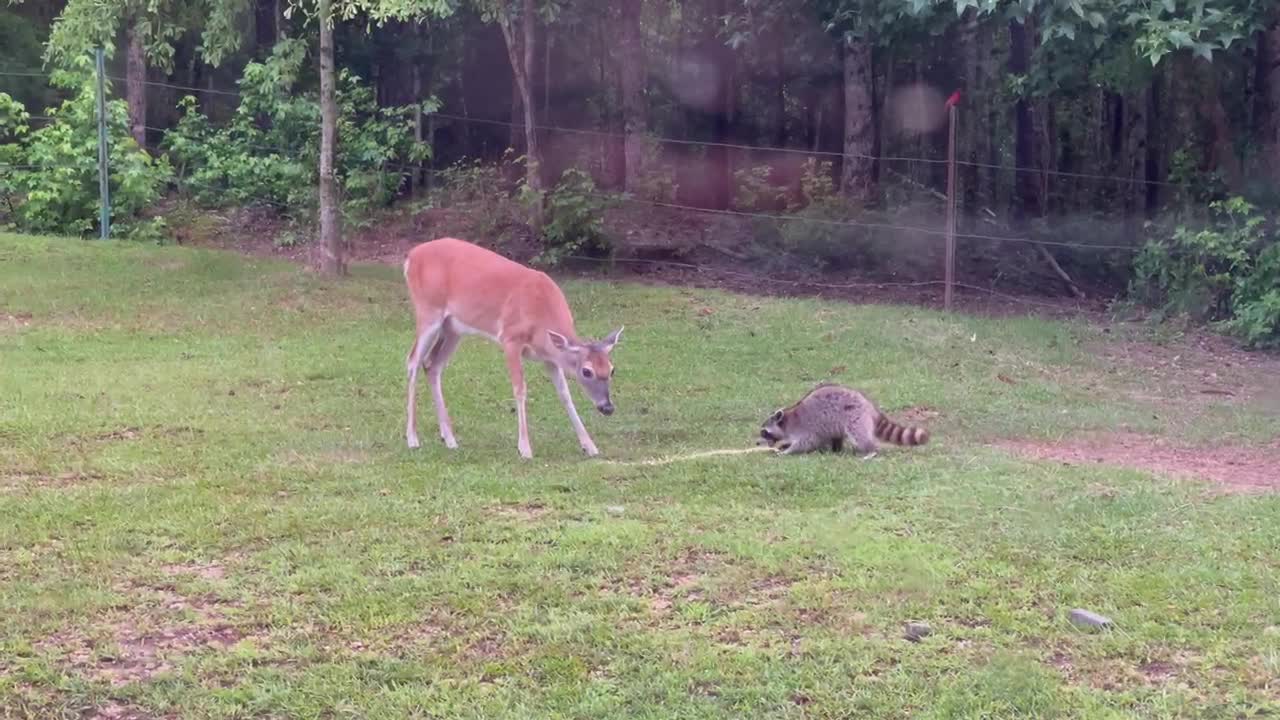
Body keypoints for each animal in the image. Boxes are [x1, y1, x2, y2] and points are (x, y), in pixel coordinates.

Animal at [399, 237, 619, 458]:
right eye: (586, 371)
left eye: (611, 370)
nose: (607, 408)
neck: (540, 317)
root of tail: (411, 255)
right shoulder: (510, 338)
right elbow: (520, 389)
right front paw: (525, 448)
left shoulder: (549, 357)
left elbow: (564, 393)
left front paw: (589, 446)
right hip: (428, 310)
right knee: (413, 361)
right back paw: (412, 438)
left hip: (453, 328)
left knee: (432, 365)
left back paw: (449, 438)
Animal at [757, 381, 931, 453]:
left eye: (764, 432)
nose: (758, 442)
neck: (786, 421)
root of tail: (868, 405)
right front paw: (785, 446)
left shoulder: (805, 427)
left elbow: (807, 442)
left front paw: (788, 451)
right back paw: (836, 449)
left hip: (855, 415)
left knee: (859, 435)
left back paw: (870, 450)